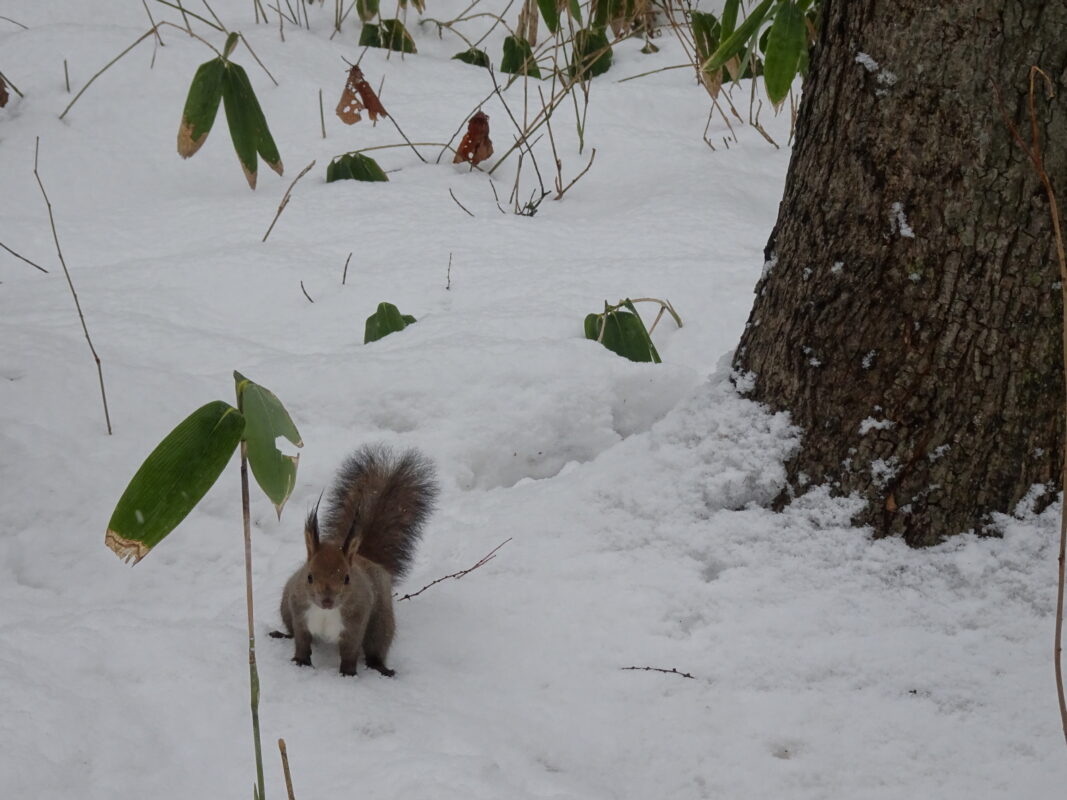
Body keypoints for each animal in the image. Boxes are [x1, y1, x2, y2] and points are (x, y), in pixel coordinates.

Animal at [271, 445, 437, 678]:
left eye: (347, 578)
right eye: (309, 576)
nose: (327, 600)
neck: (326, 612)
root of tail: (365, 558)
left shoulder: (356, 623)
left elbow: (350, 651)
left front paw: (348, 674)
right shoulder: (299, 615)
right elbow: (302, 642)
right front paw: (301, 661)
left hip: (380, 624)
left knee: (376, 648)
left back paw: (381, 668)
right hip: (285, 608)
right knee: (291, 632)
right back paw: (281, 634)